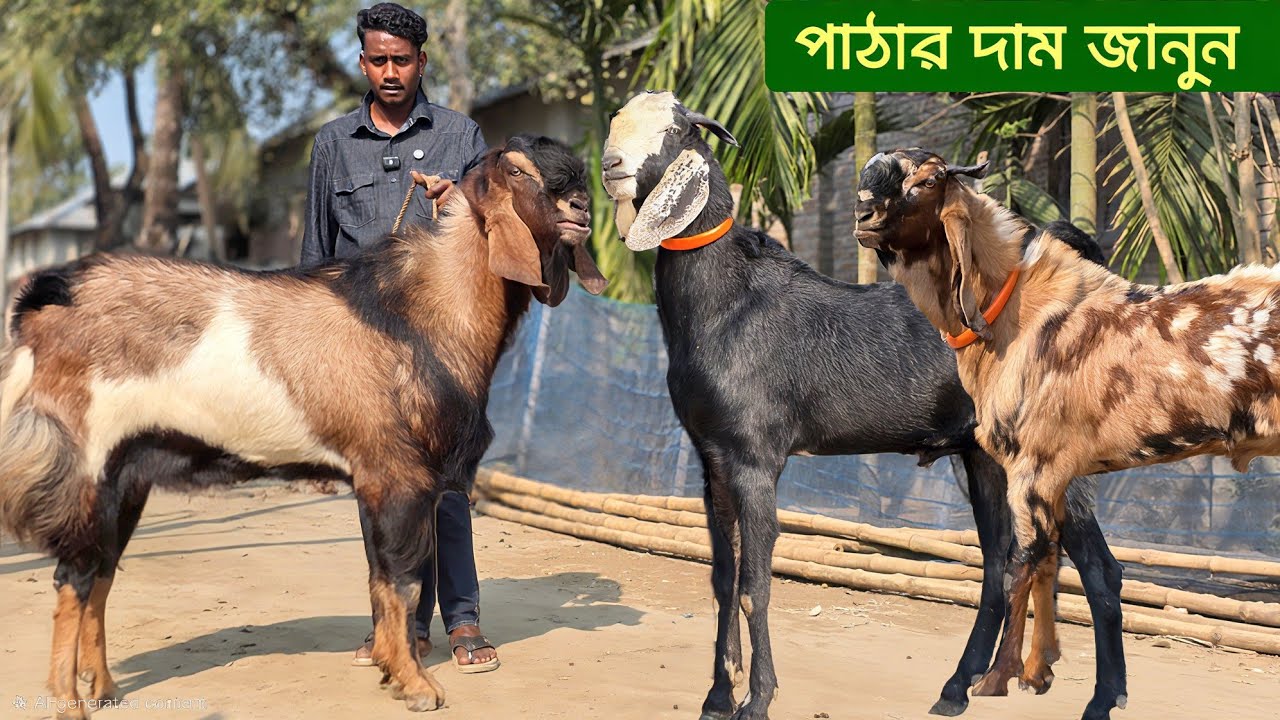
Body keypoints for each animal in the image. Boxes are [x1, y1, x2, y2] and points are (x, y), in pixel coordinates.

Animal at [0, 134, 606, 717]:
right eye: (519, 171)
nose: (581, 208)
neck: (420, 314)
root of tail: (46, 301)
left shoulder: (382, 480)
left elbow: (380, 578)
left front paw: (389, 667)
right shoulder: (397, 474)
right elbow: (403, 582)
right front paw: (416, 685)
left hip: (127, 477)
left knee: (102, 573)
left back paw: (103, 687)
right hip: (84, 463)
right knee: (75, 576)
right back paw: (69, 702)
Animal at [602, 91, 1122, 720]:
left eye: (677, 131)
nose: (610, 165)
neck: (727, 305)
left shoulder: (756, 459)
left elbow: (755, 586)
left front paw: (757, 700)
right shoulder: (713, 461)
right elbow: (723, 581)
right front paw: (717, 697)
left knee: (1099, 569)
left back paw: (1101, 700)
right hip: (982, 457)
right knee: (1001, 566)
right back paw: (956, 690)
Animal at [852, 147, 1280, 719]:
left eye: (928, 181)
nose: (864, 215)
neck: (1019, 309)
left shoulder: (1032, 468)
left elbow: (1019, 569)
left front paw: (993, 680)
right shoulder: (1055, 474)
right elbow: (1057, 568)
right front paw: (1054, 678)